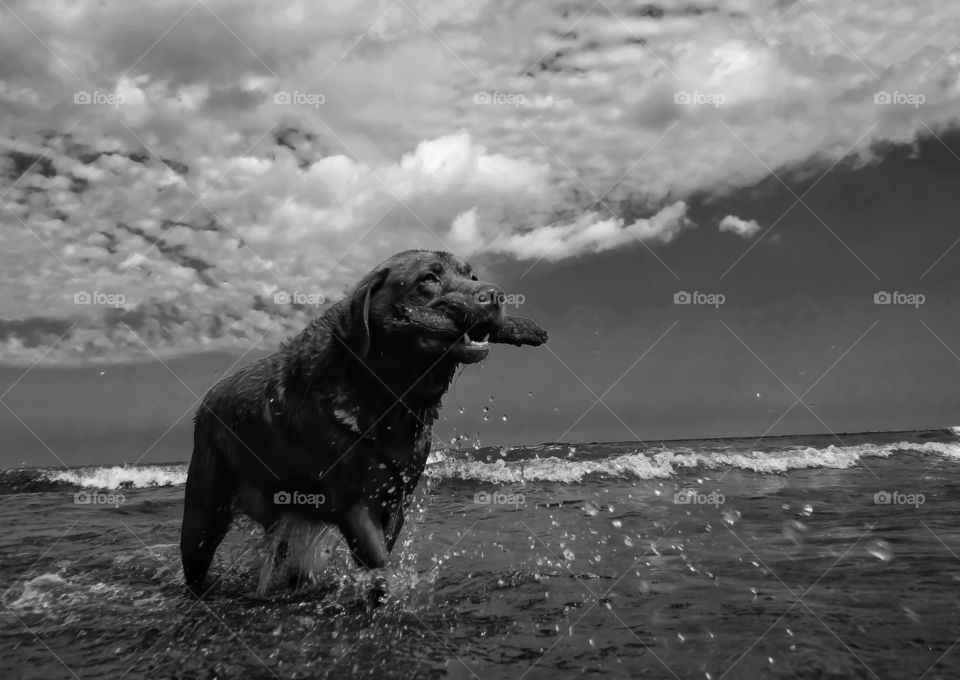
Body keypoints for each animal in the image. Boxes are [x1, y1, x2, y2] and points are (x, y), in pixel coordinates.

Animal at [180, 251, 548, 596]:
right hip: (202, 514)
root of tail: (206, 401)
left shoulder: (397, 498)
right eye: (428, 278)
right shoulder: (354, 504)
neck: (388, 393)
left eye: (472, 276)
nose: (496, 294)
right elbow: (378, 563)